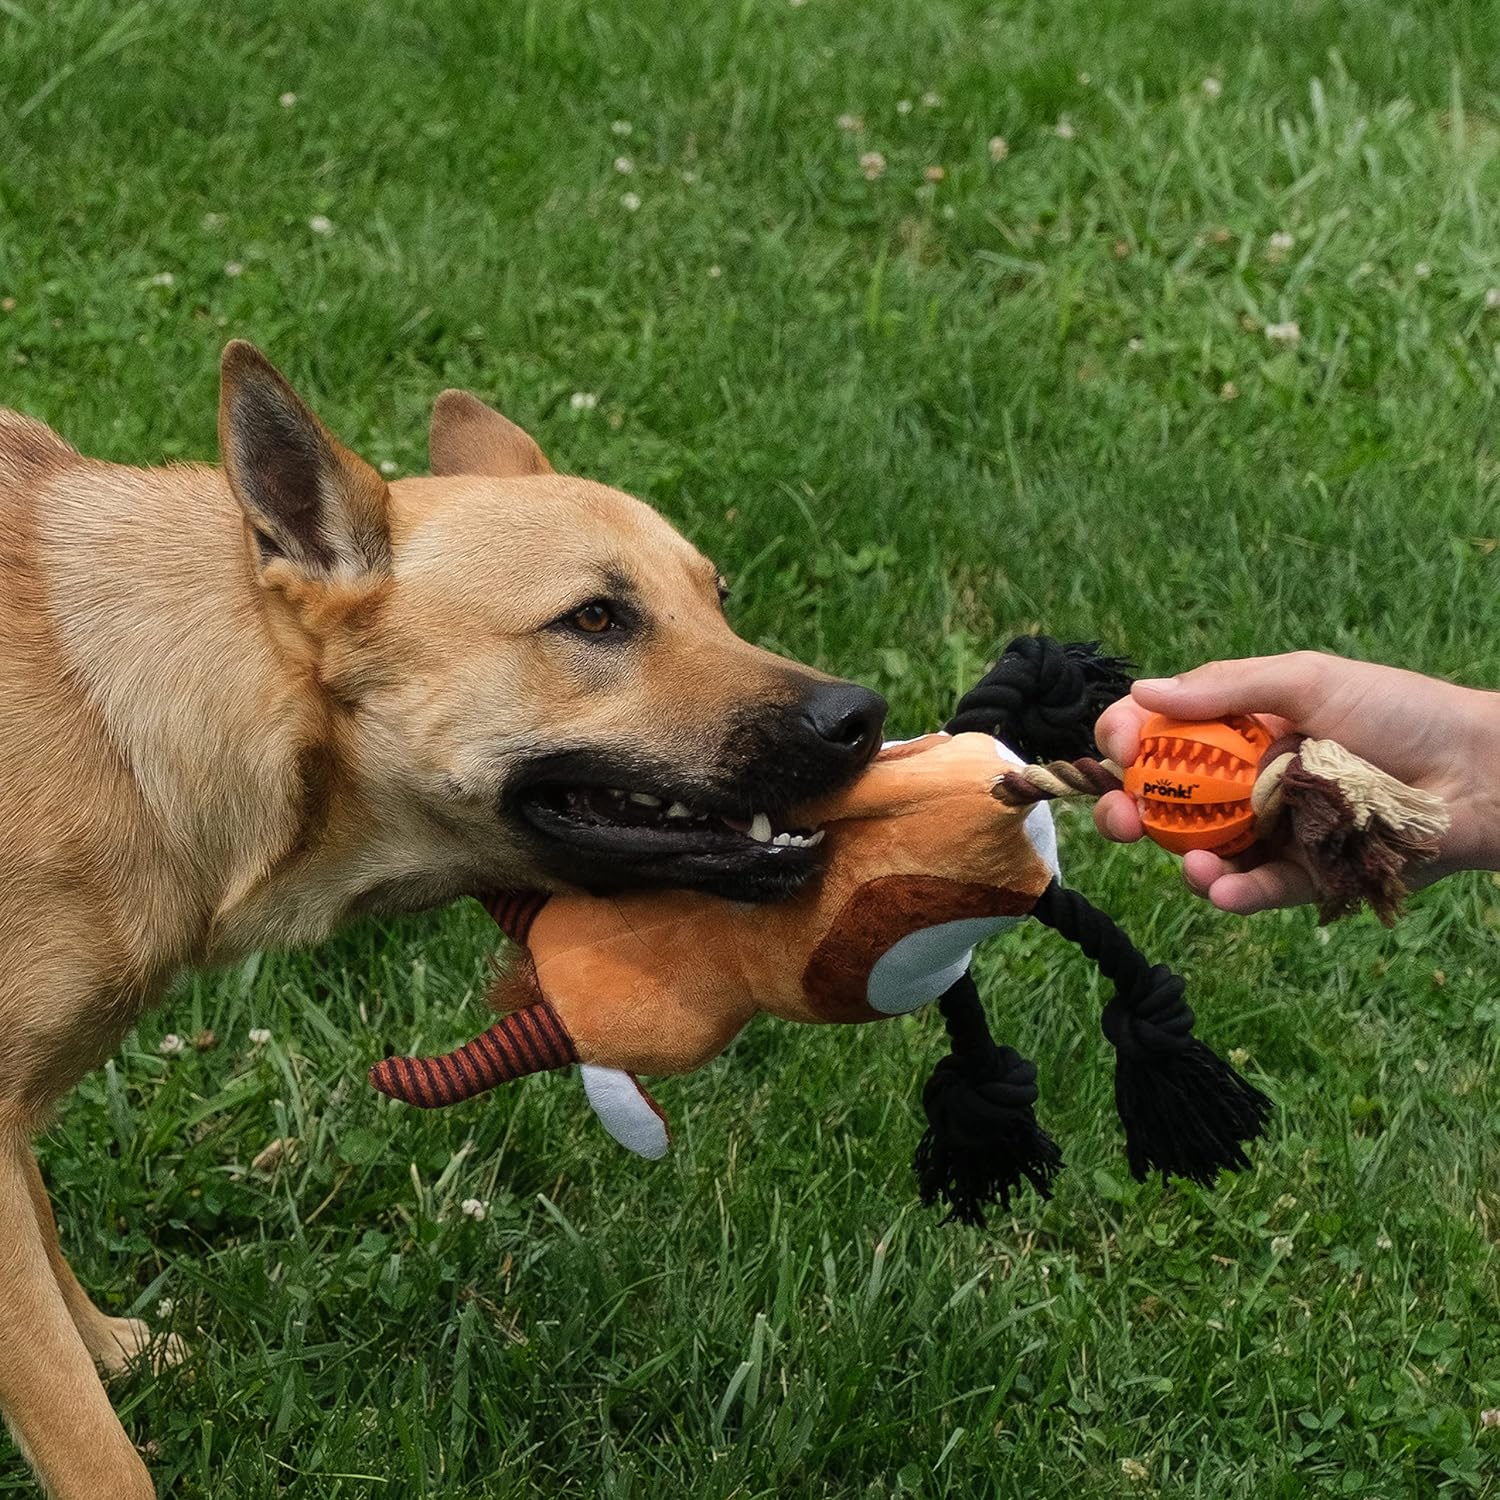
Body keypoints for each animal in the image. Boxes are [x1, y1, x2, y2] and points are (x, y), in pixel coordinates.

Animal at [0, 345, 882, 1494]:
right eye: (595, 620)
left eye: (718, 598)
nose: (862, 716)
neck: (115, 717)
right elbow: (87, 1436)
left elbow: (52, 1262)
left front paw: (113, 1349)